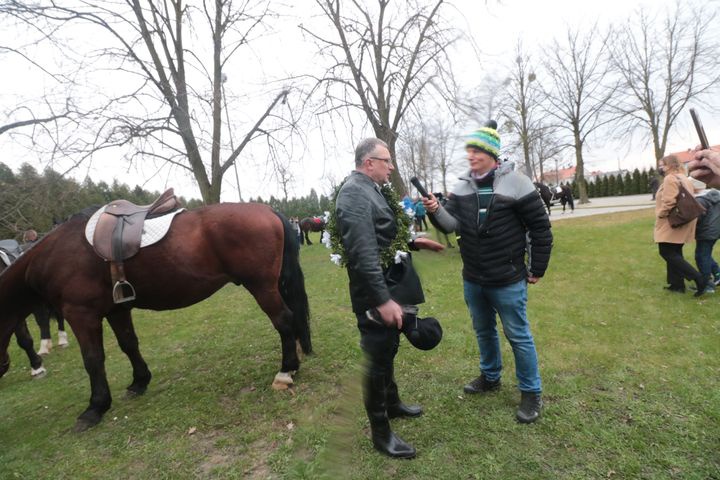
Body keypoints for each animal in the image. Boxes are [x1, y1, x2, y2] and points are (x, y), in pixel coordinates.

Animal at [0, 201, 310, 434]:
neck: (57, 252)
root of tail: (268, 211)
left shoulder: (81, 314)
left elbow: (93, 359)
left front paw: (95, 408)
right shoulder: (117, 310)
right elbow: (129, 344)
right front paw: (139, 382)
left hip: (261, 286)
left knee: (284, 320)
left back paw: (285, 372)